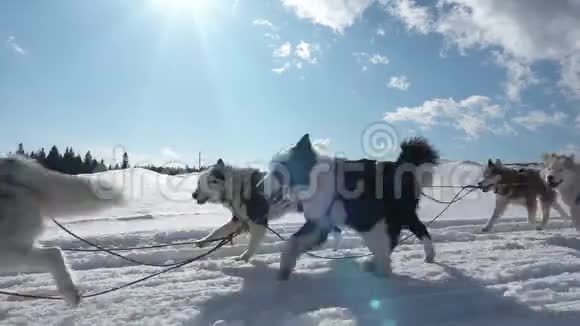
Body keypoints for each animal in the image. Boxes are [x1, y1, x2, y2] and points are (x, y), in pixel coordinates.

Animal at [193, 159, 342, 262]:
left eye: (208, 182)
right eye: (198, 183)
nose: (193, 195)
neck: (237, 187)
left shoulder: (258, 222)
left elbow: (252, 244)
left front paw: (244, 257)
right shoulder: (239, 220)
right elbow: (218, 231)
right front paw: (203, 241)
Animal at [262, 135, 440, 280]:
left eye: (278, 172)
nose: (260, 186)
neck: (315, 179)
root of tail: (400, 165)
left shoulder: (367, 219)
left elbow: (379, 245)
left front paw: (383, 273)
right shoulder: (319, 223)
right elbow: (292, 243)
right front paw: (284, 270)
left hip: (400, 213)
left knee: (417, 231)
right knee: (405, 234)